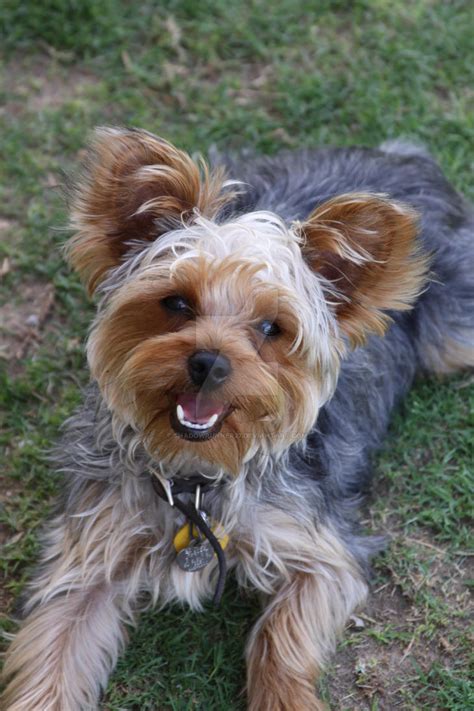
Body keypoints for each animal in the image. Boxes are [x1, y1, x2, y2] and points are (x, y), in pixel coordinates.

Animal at [1, 129, 472, 711]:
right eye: (176, 303)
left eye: (272, 327)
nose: (209, 362)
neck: (197, 473)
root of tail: (399, 159)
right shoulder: (91, 548)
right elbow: (50, 661)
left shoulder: (321, 550)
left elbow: (282, 639)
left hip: (452, 334)